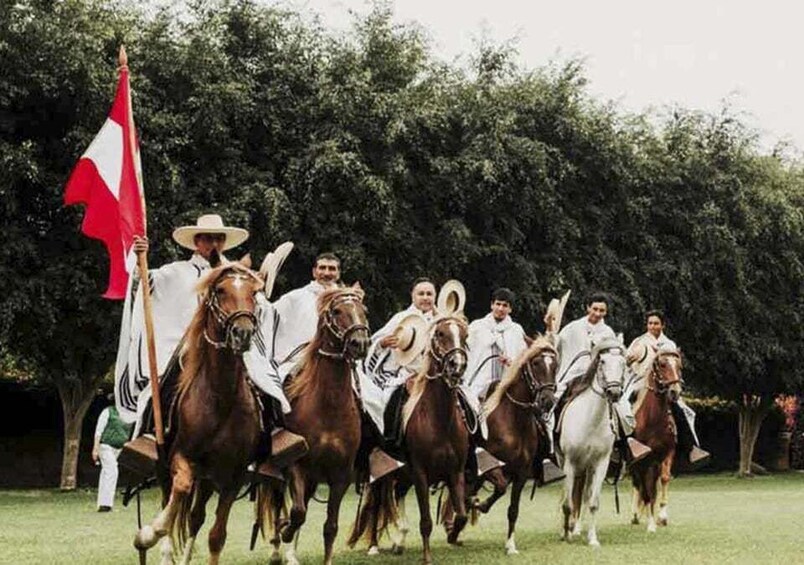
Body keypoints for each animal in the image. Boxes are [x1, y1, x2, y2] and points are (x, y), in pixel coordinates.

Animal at [133, 260, 266, 564]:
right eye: (220, 290)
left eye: (254, 292)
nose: (242, 333)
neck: (220, 398)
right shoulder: (180, 457)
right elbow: (180, 489)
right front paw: (149, 533)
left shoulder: (233, 476)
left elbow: (216, 536)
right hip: (167, 469)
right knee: (172, 500)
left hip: (207, 480)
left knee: (195, 518)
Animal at [262, 286, 372, 564]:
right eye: (337, 311)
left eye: (363, 310)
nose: (360, 343)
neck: (328, 407)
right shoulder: (297, 466)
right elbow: (297, 512)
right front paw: (285, 531)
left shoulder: (341, 474)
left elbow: (330, 527)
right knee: (280, 505)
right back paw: (278, 548)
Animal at [472, 338, 560, 552]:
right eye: (535, 363)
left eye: (555, 365)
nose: (547, 401)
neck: (513, 422)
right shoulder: (489, 468)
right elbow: (499, 488)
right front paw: (479, 505)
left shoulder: (520, 473)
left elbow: (513, 509)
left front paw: (510, 545)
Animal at [560, 334, 628, 548]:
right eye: (602, 361)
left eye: (623, 362)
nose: (614, 393)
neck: (591, 420)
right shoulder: (569, 463)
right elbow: (567, 503)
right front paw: (566, 535)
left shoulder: (600, 464)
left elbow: (593, 502)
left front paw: (592, 539)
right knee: (569, 497)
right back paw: (568, 530)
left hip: (587, 468)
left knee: (582, 496)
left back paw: (576, 528)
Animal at [632, 350, 680, 532]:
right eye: (662, 364)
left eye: (679, 366)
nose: (675, 392)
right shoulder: (641, 459)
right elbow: (646, 489)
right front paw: (651, 523)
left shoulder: (668, 452)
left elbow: (664, 479)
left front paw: (661, 517)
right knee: (639, 483)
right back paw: (636, 515)